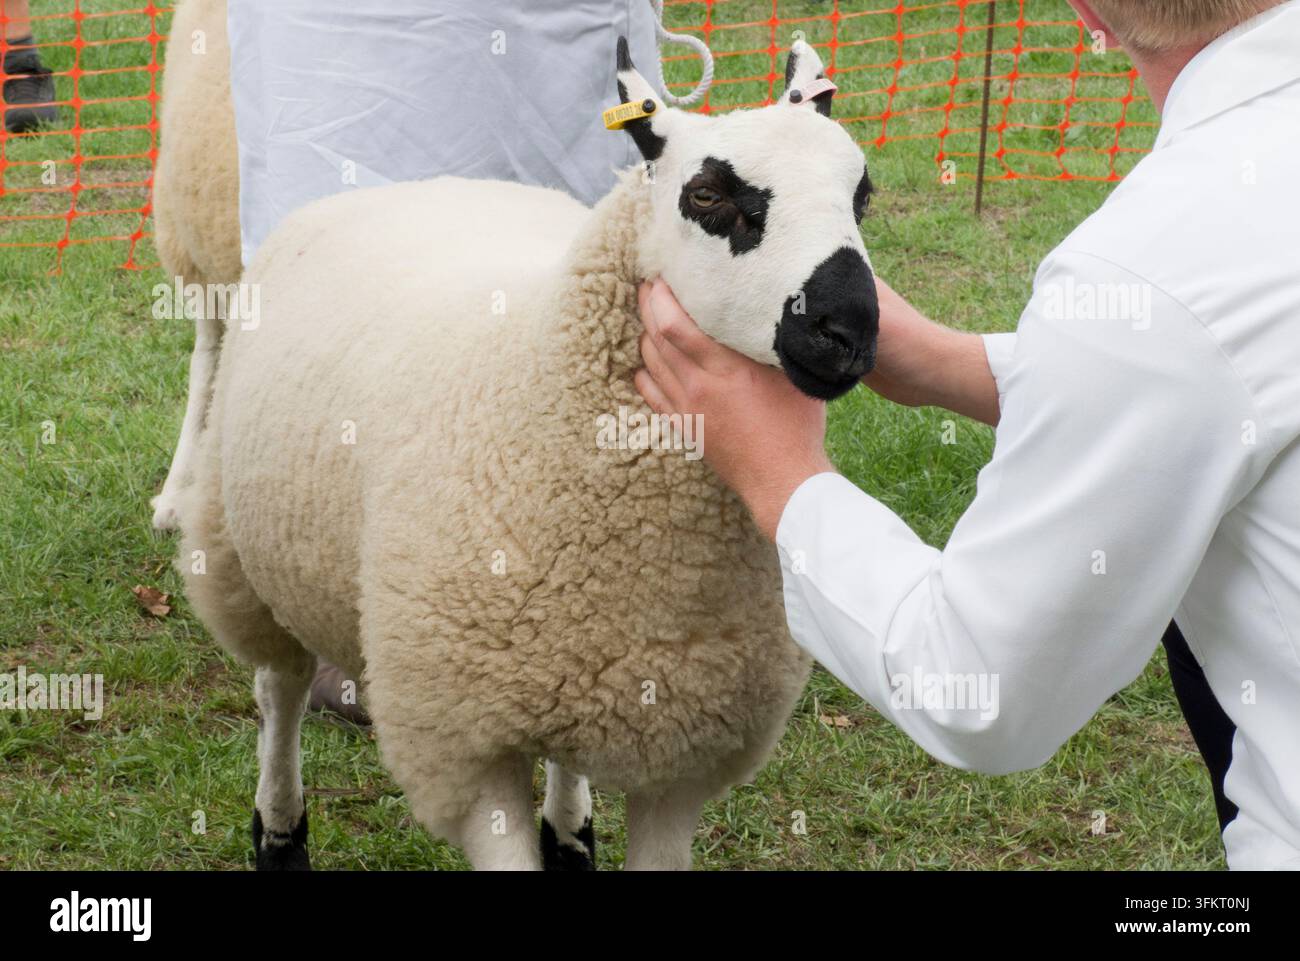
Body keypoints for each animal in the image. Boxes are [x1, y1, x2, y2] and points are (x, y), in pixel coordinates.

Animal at [176, 37, 879, 870]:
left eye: (862, 195)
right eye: (707, 195)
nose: (850, 327)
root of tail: (426, 183)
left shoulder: (684, 747)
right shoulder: (465, 744)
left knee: (565, 749)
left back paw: (570, 829)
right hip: (241, 556)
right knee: (278, 689)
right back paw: (279, 831)